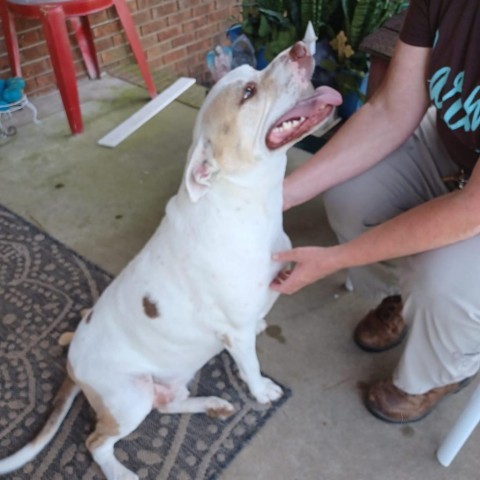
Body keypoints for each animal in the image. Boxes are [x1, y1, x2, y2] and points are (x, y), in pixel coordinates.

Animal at [0, 42, 342, 480]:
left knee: (167, 404)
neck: (244, 201)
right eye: (248, 92)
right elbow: (250, 367)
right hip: (130, 396)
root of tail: (73, 363)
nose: (299, 48)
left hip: (172, 378)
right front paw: (262, 390)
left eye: (253, 70)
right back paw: (121, 471)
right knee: (97, 441)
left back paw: (211, 404)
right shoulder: (236, 335)